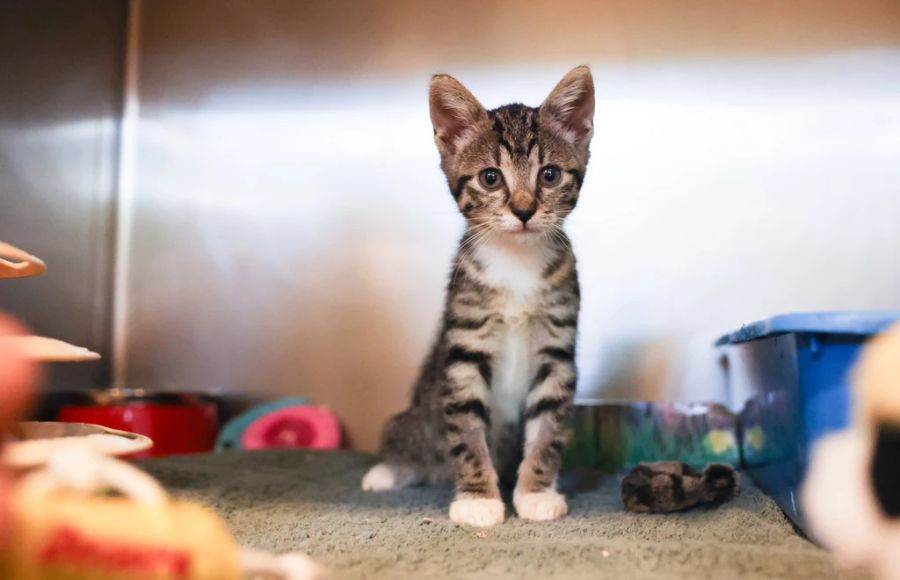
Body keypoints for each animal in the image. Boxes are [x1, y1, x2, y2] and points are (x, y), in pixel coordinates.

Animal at [362, 65, 596, 528]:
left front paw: (536, 492)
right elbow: (467, 432)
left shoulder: (557, 351)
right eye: (491, 177)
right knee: (410, 443)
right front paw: (478, 499)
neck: (517, 263)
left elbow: (548, 429)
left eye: (549, 175)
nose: (523, 210)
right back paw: (388, 471)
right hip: (412, 420)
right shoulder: (464, 351)